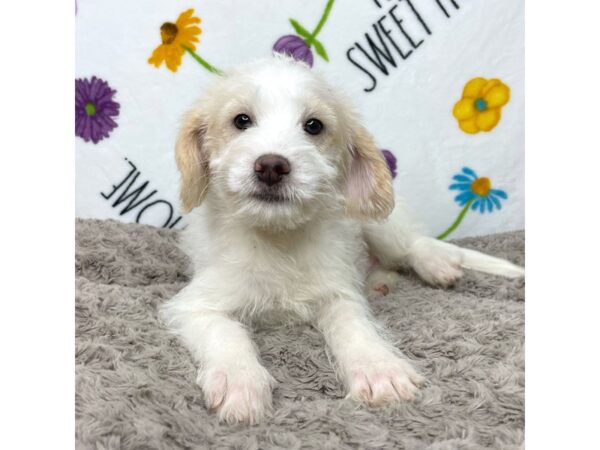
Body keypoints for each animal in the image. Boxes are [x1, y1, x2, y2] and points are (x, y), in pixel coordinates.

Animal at [161, 55, 524, 426]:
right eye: (241, 120)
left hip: (378, 224)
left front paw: (379, 369)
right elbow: (226, 333)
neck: (279, 237)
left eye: (314, 126)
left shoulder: (338, 294)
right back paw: (381, 281)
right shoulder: (196, 305)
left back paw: (437, 264)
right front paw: (239, 380)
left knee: (413, 246)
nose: (272, 166)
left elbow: (356, 328)